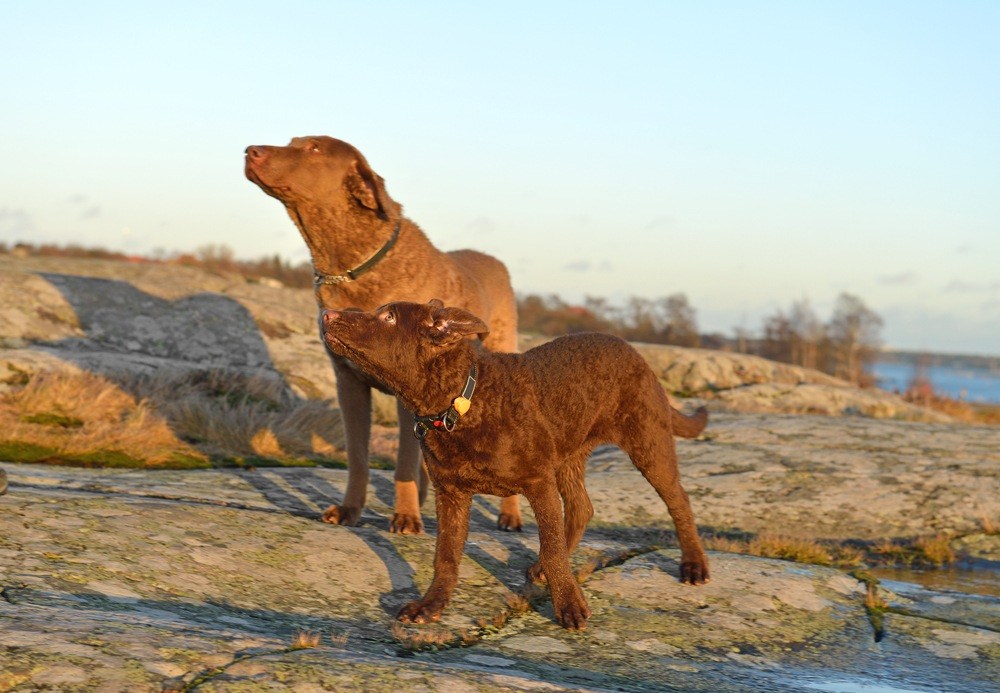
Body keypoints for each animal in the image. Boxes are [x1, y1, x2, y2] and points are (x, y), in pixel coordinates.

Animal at [244, 138, 524, 532]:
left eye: (313, 148)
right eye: (292, 142)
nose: (250, 151)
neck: (350, 266)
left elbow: (404, 461)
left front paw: (405, 516)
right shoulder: (348, 383)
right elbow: (358, 456)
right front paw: (349, 509)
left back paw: (509, 515)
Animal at [322, 298, 712, 628]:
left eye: (388, 317)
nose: (327, 314)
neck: (459, 403)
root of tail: (636, 354)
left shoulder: (538, 483)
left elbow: (552, 548)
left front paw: (569, 605)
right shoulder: (451, 493)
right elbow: (446, 555)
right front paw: (431, 605)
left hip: (648, 444)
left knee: (679, 501)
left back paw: (694, 565)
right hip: (568, 455)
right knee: (582, 507)